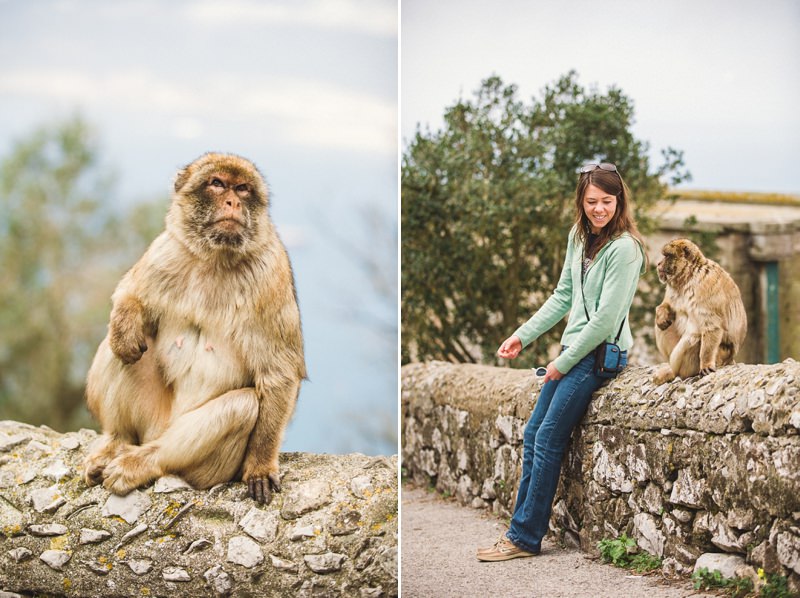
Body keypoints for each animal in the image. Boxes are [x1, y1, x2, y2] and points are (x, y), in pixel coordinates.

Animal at [83, 154, 304, 506]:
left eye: (243, 189)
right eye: (217, 184)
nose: (232, 202)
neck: (215, 257)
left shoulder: (272, 273)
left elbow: (278, 374)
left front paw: (260, 465)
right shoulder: (166, 250)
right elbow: (131, 294)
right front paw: (126, 325)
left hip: (209, 466)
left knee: (242, 406)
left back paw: (143, 463)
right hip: (152, 420)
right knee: (118, 349)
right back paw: (116, 441)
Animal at [652, 237, 748, 386]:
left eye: (667, 256)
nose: (658, 263)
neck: (688, 277)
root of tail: (729, 359)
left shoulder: (705, 285)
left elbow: (712, 326)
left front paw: (706, 364)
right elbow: (667, 305)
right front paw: (661, 316)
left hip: (720, 354)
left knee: (694, 338)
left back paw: (675, 372)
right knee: (666, 326)